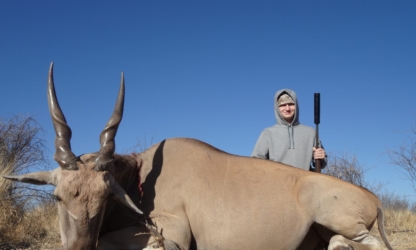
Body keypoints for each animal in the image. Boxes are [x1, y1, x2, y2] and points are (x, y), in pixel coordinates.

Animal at [4, 64, 394, 250]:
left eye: (104, 199)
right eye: (58, 197)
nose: (79, 247)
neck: (141, 179)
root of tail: (373, 200)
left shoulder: (174, 232)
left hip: (339, 220)